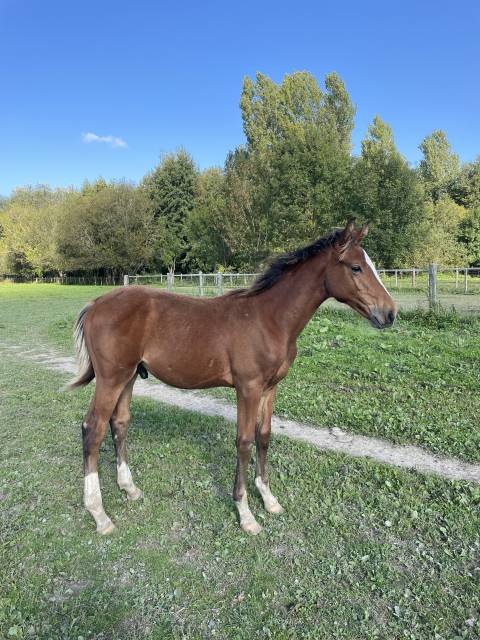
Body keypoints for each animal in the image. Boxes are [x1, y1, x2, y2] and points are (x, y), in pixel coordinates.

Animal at [68, 220, 398, 536]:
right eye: (355, 267)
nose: (390, 313)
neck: (269, 319)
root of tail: (95, 304)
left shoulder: (270, 388)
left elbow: (264, 436)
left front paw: (269, 499)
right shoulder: (247, 388)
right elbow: (244, 441)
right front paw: (246, 513)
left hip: (129, 376)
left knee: (119, 423)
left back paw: (130, 488)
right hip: (111, 378)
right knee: (93, 429)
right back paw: (99, 515)